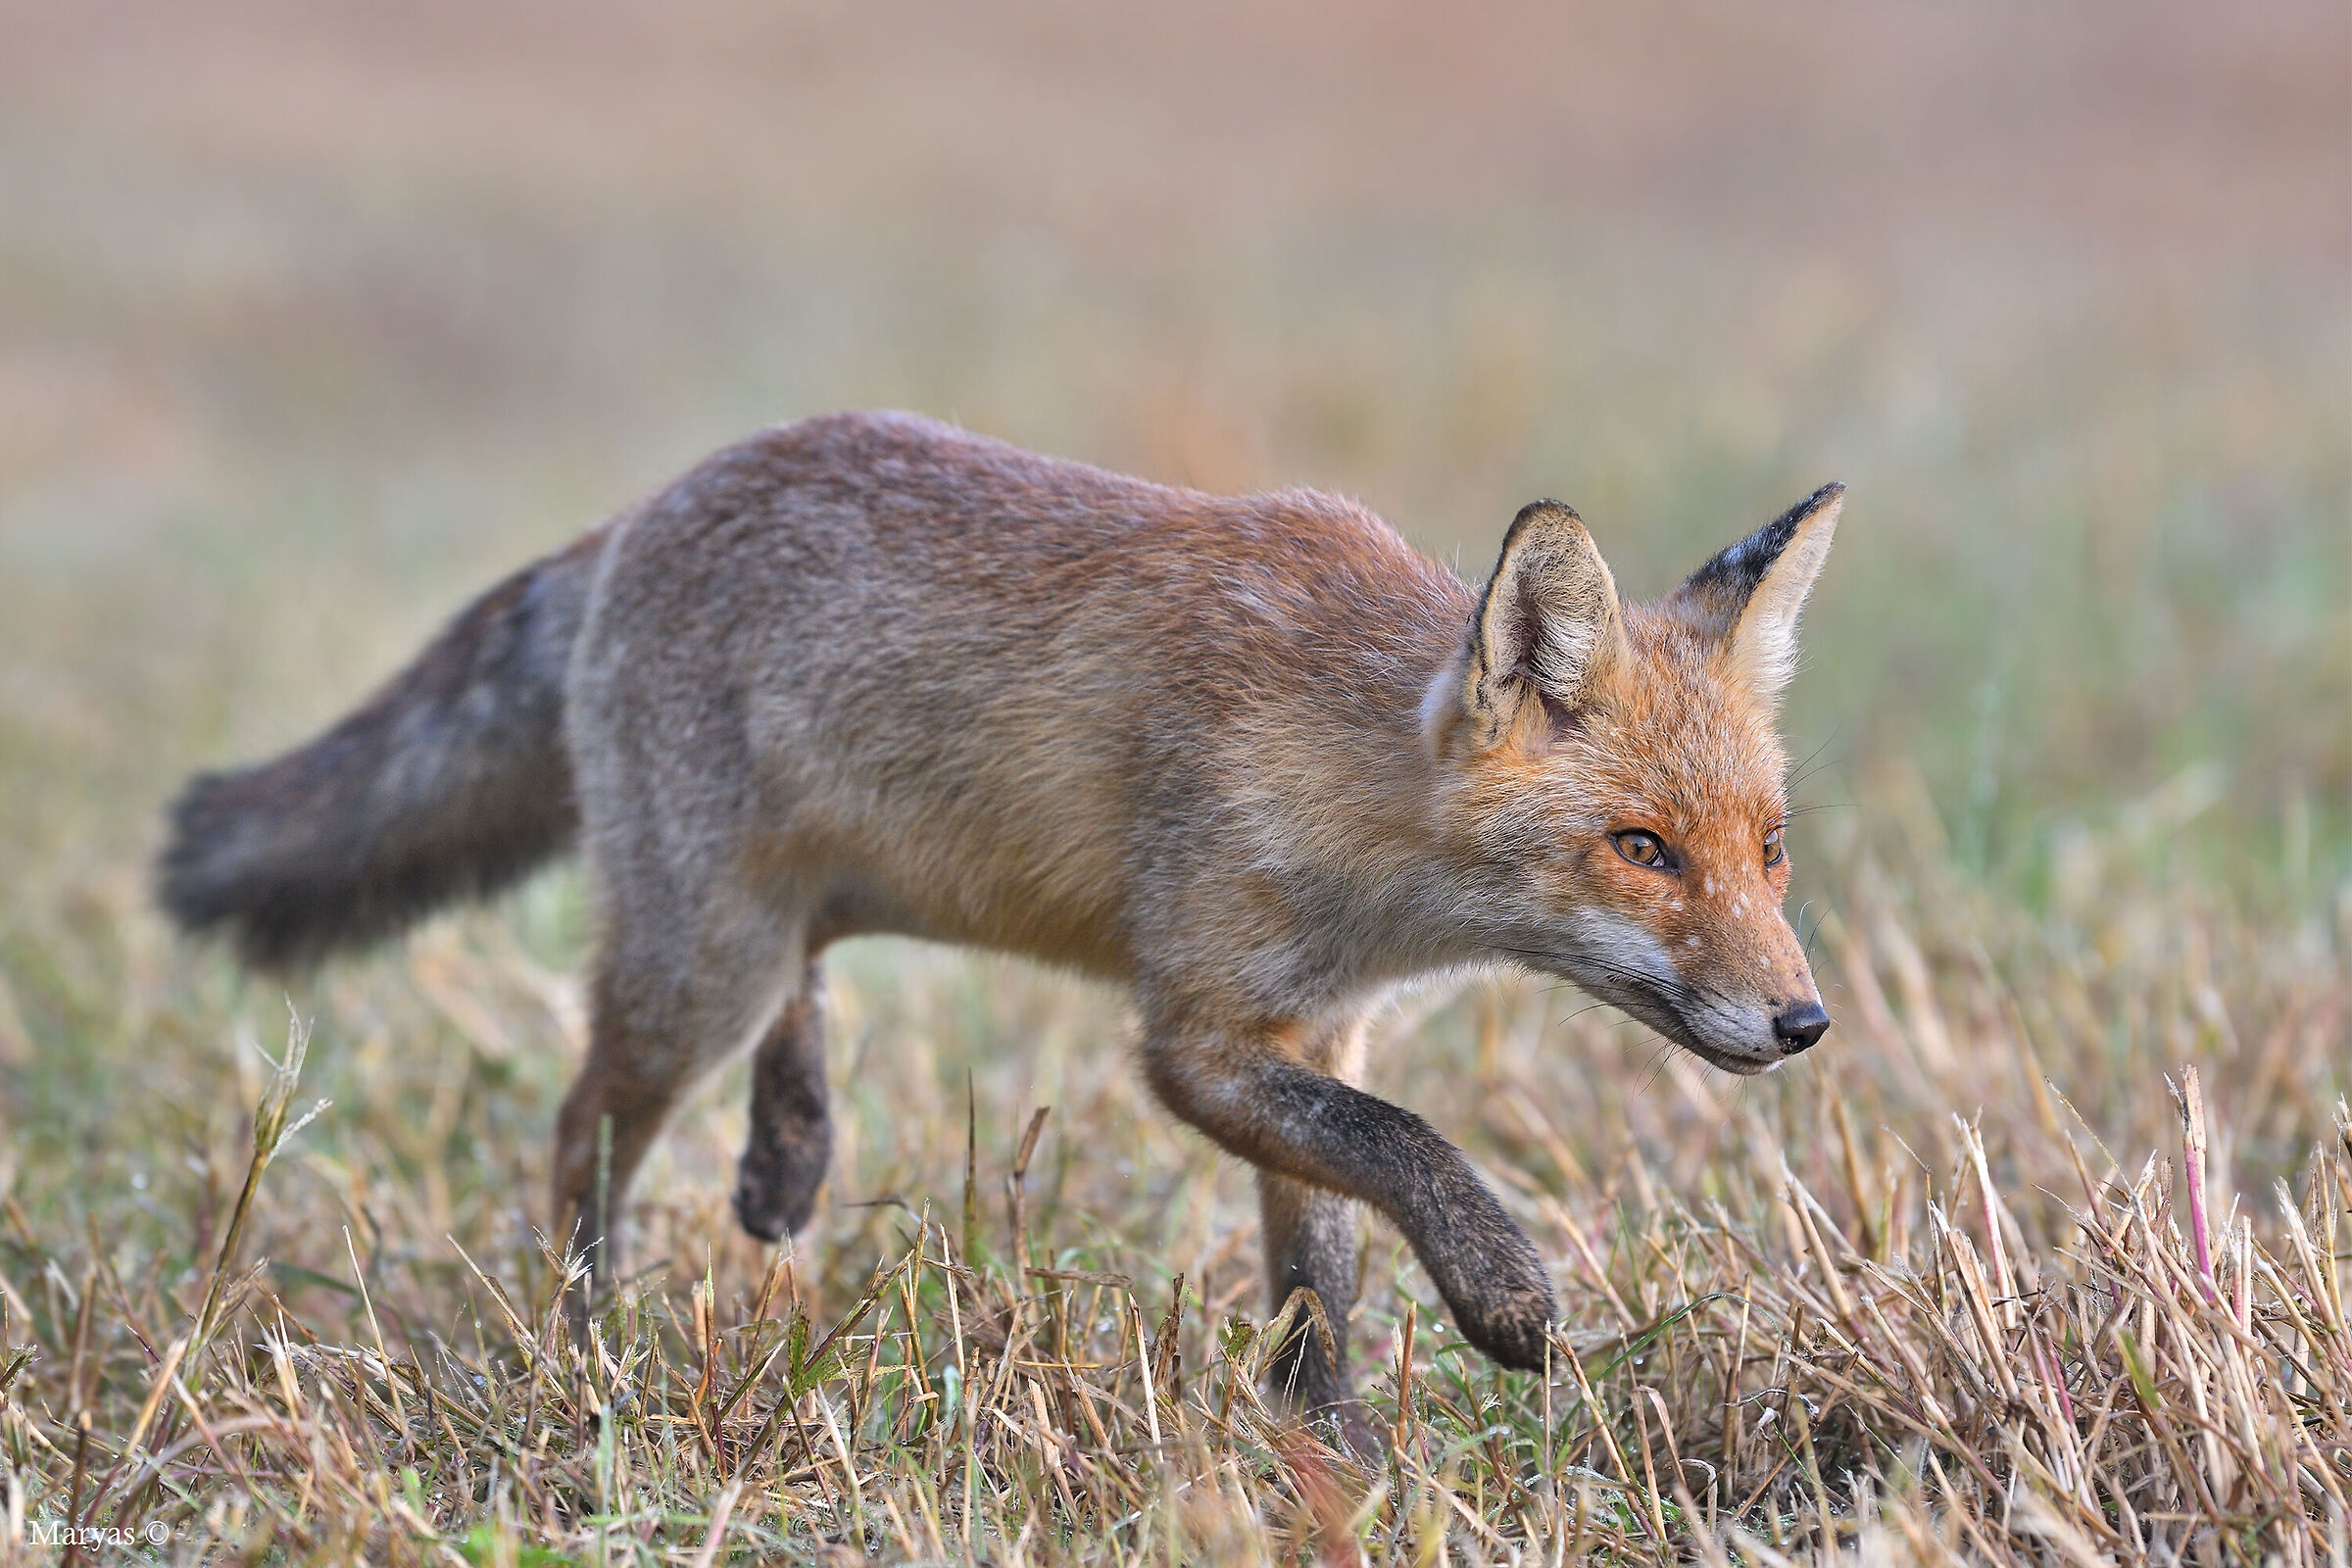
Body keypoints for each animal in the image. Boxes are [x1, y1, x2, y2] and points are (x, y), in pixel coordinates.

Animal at [157, 410, 1840, 1431]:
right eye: (1641, 850)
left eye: (1767, 853)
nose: (1803, 1021)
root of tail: (640, 510)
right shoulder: (1199, 1035)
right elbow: (1408, 1148)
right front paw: (1502, 1297)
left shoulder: (1312, 1027)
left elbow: (1323, 1271)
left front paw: (1339, 1460)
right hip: (697, 964)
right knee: (587, 1128)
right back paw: (585, 1348)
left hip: (778, 909)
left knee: (803, 977)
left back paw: (789, 1148)